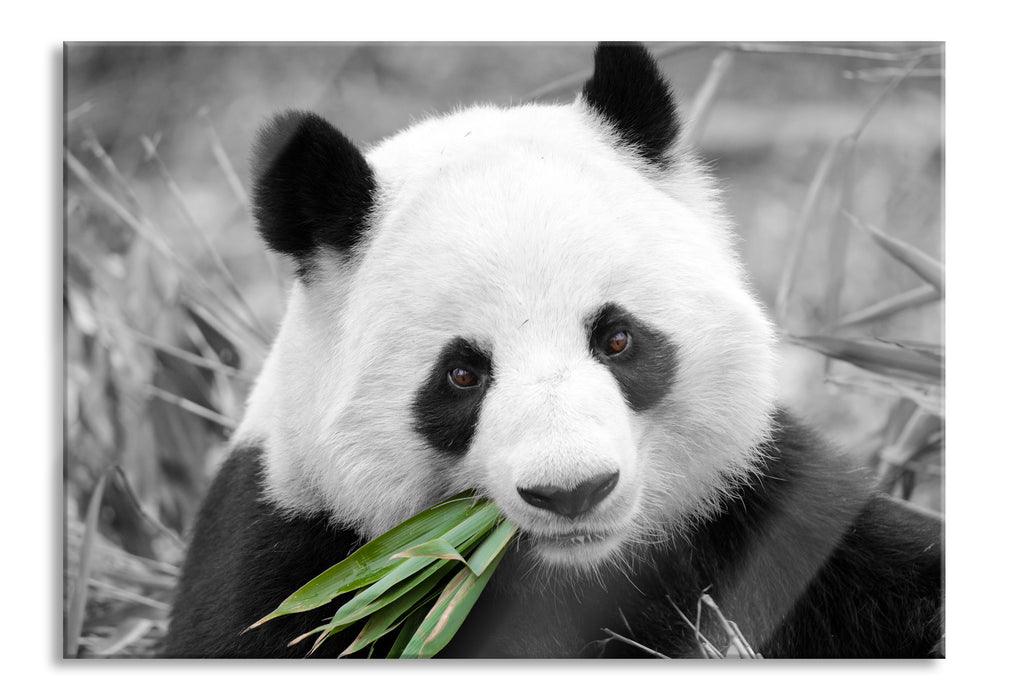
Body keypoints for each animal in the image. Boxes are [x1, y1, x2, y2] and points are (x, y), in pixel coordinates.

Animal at [163, 43, 943, 659]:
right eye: (462, 374)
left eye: (617, 338)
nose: (573, 491)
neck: (573, 571)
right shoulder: (297, 559)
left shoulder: (770, 514)